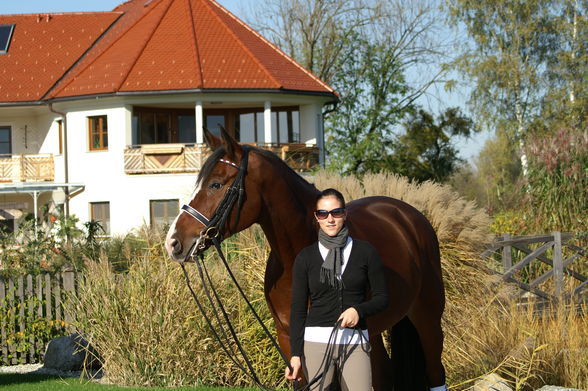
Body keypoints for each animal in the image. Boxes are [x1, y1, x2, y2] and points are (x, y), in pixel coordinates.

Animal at [165, 128, 446, 388]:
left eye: (216, 184)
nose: (173, 242)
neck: (296, 257)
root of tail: (408, 216)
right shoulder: (290, 339)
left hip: (427, 321)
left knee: (435, 372)